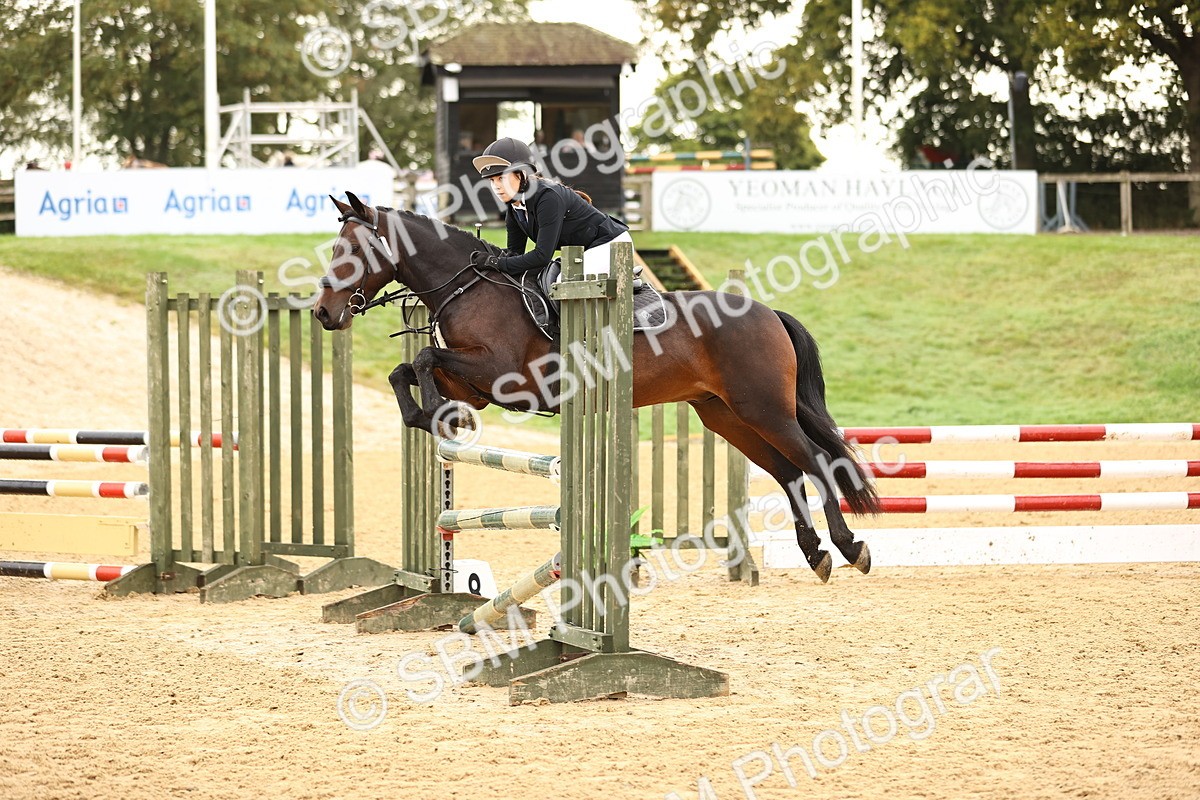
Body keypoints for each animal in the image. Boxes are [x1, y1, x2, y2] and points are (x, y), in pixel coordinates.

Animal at [314, 192, 880, 583]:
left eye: (354, 250)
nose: (322, 312)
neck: (467, 288)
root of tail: (769, 313)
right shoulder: (476, 385)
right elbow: (406, 370)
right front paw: (427, 415)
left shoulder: (505, 376)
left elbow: (424, 358)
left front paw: (435, 413)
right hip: (725, 416)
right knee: (788, 471)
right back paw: (816, 553)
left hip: (765, 409)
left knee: (817, 461)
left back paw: (850, 546)